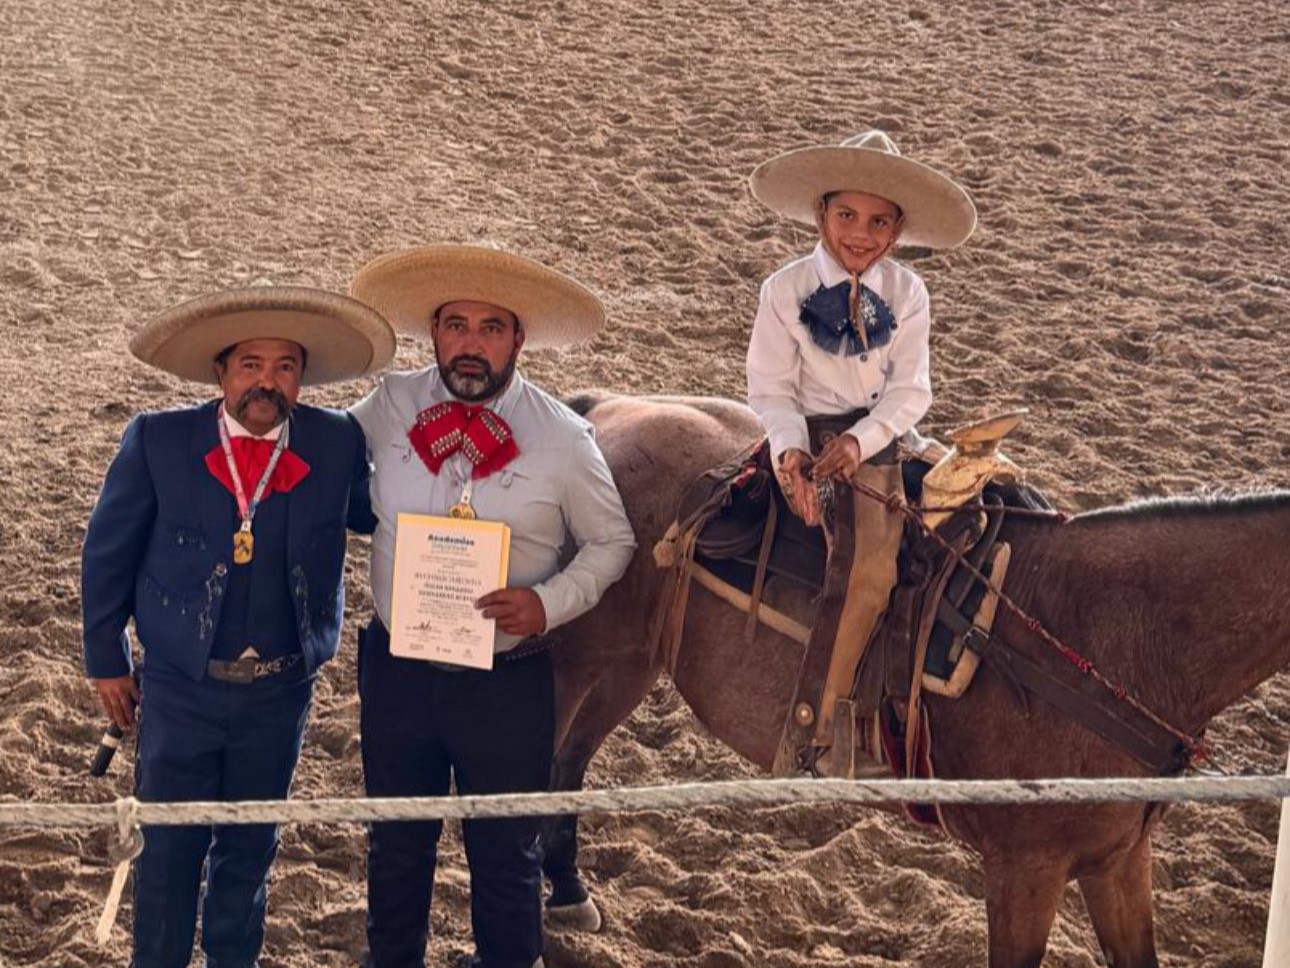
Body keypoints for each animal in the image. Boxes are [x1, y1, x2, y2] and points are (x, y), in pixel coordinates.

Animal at [539, 392, 1290, 968]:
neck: (1103, 634)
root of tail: (597, 413)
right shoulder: (1026, 868)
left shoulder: (1118, 861)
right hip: (576, 659)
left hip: (629, 663)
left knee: (569, 765)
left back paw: (571, 895)